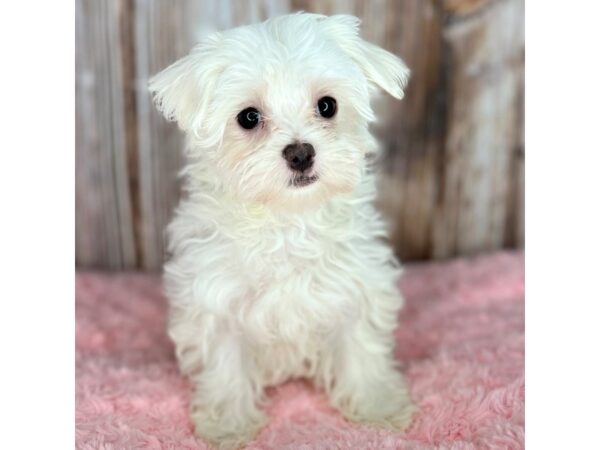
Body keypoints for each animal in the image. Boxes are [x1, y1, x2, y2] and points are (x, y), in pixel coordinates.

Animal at [149, 12, 418, 448]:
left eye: (327, 106)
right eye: (248, 117)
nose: (301, 153)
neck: (286, 221)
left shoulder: (356, 288)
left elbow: (361, 350)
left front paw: (378, 407)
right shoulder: (215, 301)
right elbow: (226, 366)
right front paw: (228, 426)